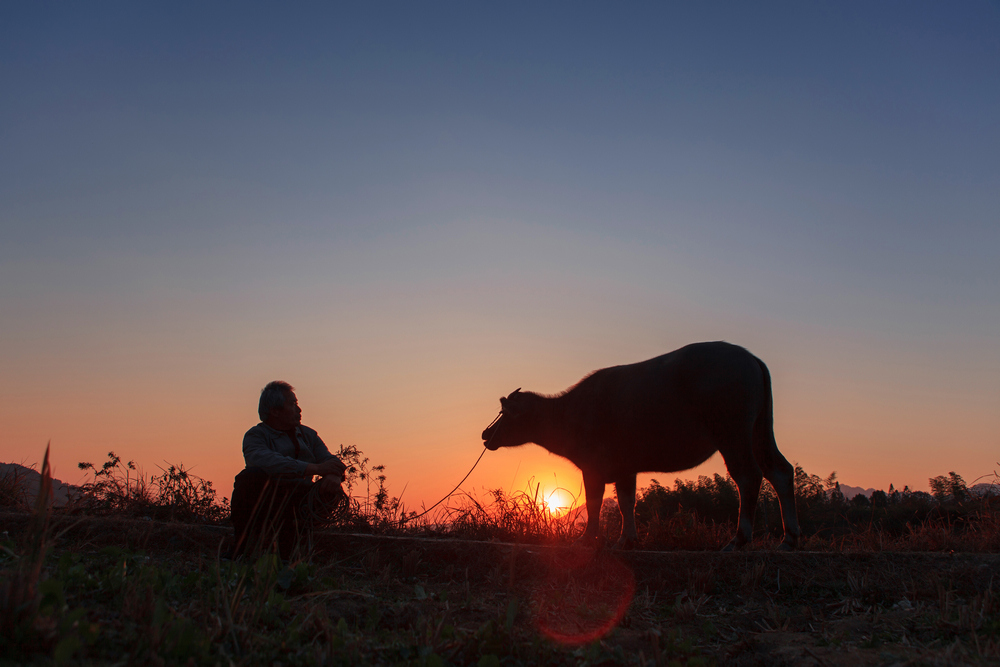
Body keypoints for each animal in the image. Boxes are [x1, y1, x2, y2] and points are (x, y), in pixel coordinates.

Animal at [480, 342, 800, 552]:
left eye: (505, 413)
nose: (486, 434)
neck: (570, 411)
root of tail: (750, 358)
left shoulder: (593, 468)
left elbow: (595, 502)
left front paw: (587, 538)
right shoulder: (625, 469)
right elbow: (626, 502)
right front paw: (627, 539)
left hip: (733, 435)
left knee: (748, 476)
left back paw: (739, 539)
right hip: (760, 431)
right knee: (780, 471)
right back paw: (789, 539)